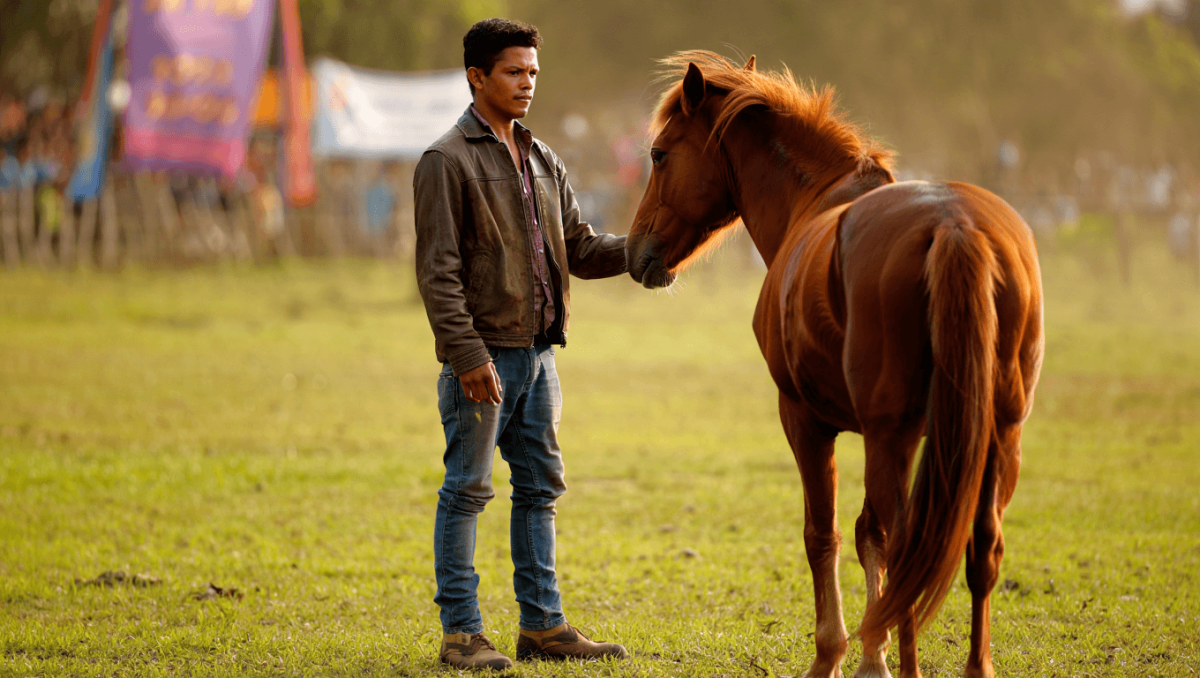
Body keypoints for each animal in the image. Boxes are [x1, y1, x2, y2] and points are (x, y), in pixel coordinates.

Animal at [626, 51, 1044, 678]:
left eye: (658, 153)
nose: (634, 251)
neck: (815, 201)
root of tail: (952, 224)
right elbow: (868, 534)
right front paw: (874, 652)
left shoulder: (806, 421)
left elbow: (823, 536)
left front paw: (834, 654)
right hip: (996, 436)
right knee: (978, 547)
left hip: (894, 435)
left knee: (911, 546)